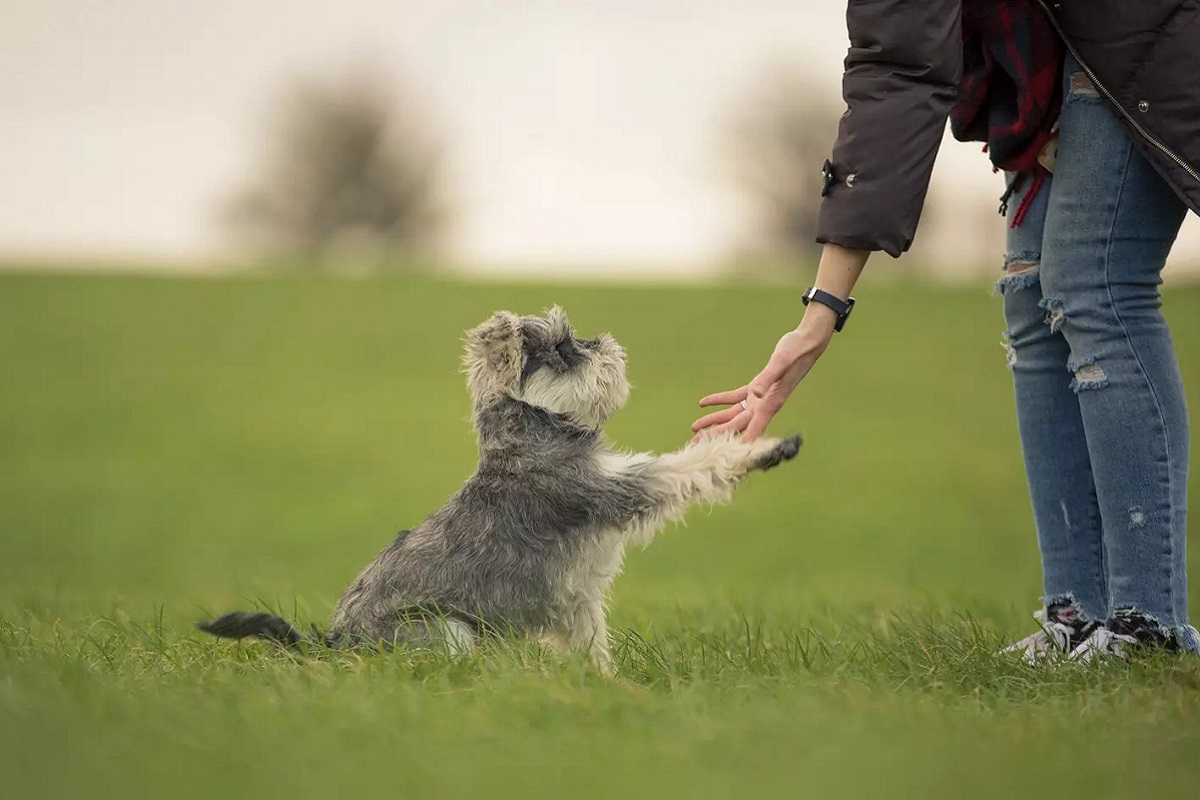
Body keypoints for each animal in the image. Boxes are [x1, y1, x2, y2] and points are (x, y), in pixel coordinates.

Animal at [196, 309, 801, 671]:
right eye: (561, 350)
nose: (602, 341)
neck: (534, 433)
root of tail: (331, 644)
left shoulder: (578, 599)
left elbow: (592, 651)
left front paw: (607, 686)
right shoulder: (621, 488)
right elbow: (693, 465)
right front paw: (766, 447)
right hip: (446, 632)